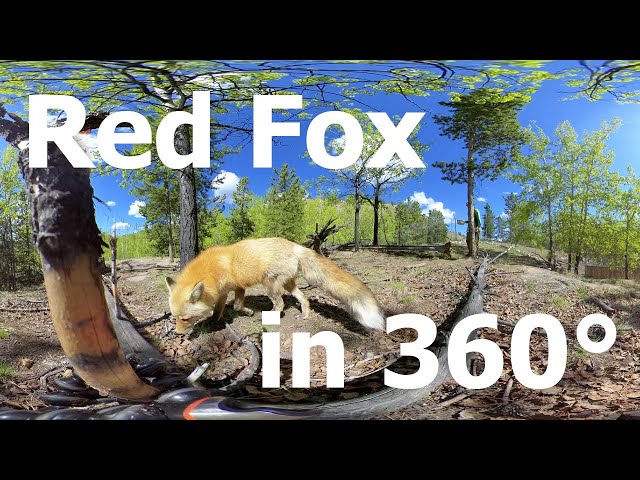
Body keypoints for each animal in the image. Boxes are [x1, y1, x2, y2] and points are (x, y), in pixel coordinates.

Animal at [165, 237, 386, 334]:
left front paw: (246, 312)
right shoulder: (225, 291)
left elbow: (236, 305)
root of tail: (297, 246)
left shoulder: (237, 288)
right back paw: (305, 315)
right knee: (304, 298)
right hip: (288, 285)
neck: (211, 271)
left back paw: (270, 318)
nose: (177, 333)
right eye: (174, 318)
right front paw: (214, 321)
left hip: (269, 284)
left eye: (185, 319)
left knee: (280, 304)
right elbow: (220, 309)